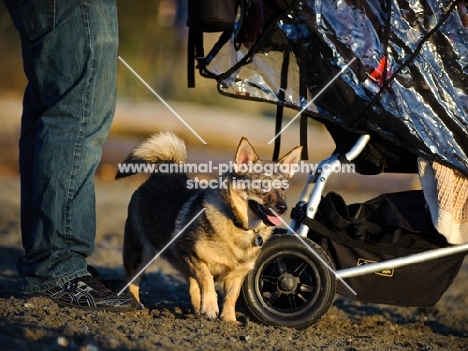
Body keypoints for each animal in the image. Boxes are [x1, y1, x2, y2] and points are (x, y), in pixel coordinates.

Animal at [115, 133, 302, 324]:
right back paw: (136, 305)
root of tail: (163, 174)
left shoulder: (237, 275)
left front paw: (229, 320)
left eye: (283, 188)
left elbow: (230, 297)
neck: (237, 224)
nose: (283, 207)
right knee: (131, 281)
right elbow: (208, 280)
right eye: (263, 185)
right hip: (140, 254)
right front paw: (211, 308)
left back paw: (198, 311)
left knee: (192, 286)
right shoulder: (192, 256)